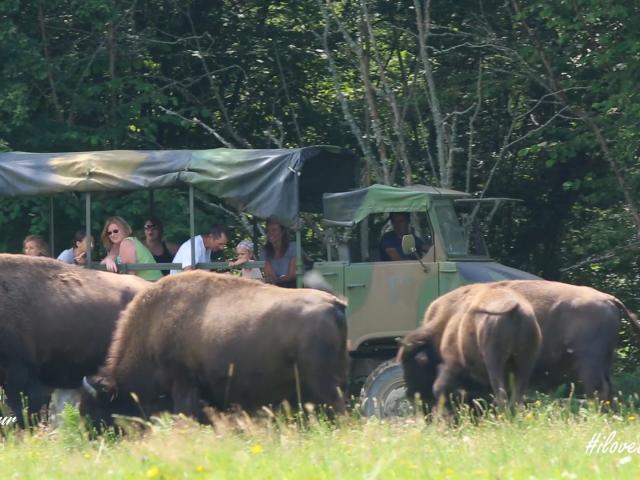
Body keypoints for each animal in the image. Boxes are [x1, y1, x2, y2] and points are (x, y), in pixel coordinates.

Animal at [400, 280, 640, 406]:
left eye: (411, 363)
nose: (411, 395)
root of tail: (609, 299)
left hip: (588, 364)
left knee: (598, 391)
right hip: (603, 363)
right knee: (608, 390)